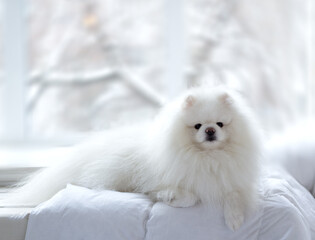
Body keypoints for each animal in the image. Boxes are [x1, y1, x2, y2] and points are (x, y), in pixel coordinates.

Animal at [4, 86, 262, 231]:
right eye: (197, 125)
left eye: (220, 124)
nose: (209, 131)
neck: (208, 158)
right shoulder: (162, 181)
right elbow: (188, 197)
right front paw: (171, 198)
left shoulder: (231, 180)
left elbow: (234, 196)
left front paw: (235, 220)